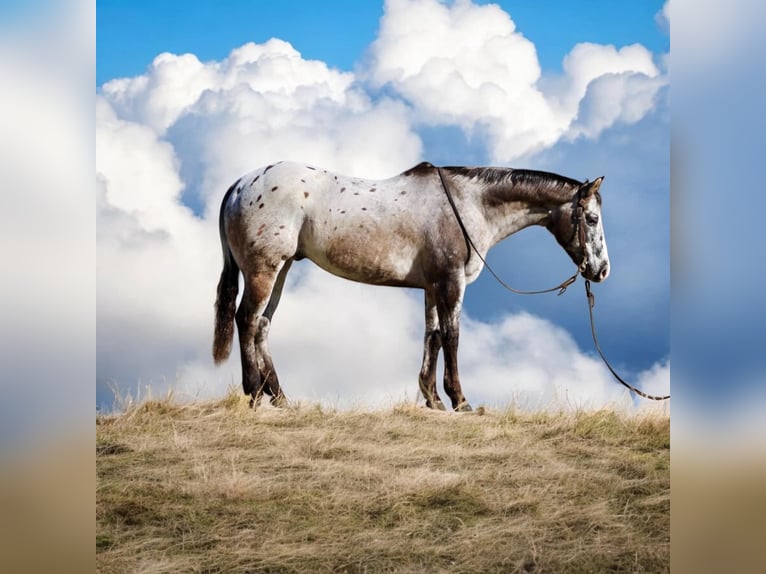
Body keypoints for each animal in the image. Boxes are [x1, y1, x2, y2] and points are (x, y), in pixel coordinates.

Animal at [212, 162, 612, 414]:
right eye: (592, 219)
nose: (602, 270)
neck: (467, 204)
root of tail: (239, 185)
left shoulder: (432, 286)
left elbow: (431, 337)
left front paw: (432, 399)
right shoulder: (450, 282)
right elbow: (451, 336)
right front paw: (460, 400)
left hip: (280, 270)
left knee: (262, 326)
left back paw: (280, 398)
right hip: (264, 269)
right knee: (246, 319)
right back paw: (254, 393)